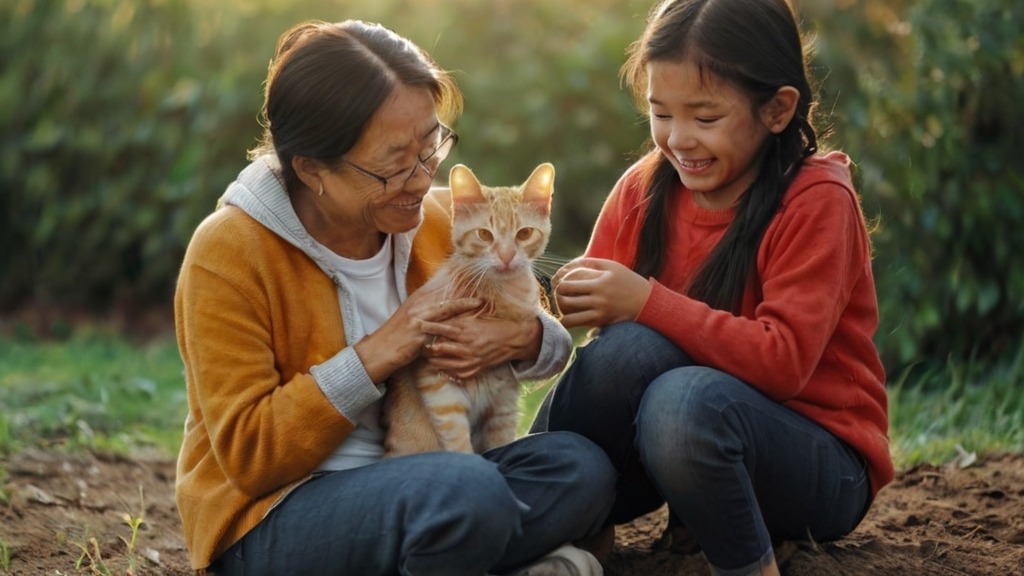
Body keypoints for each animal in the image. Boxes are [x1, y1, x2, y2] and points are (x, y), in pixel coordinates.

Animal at [385, 163, 561, 455]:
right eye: (484, 235)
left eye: (524, 234)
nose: (506, 256)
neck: (503, 293)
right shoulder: (439, 383)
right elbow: (459, 443)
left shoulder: (504, 400)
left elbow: (501, 443)